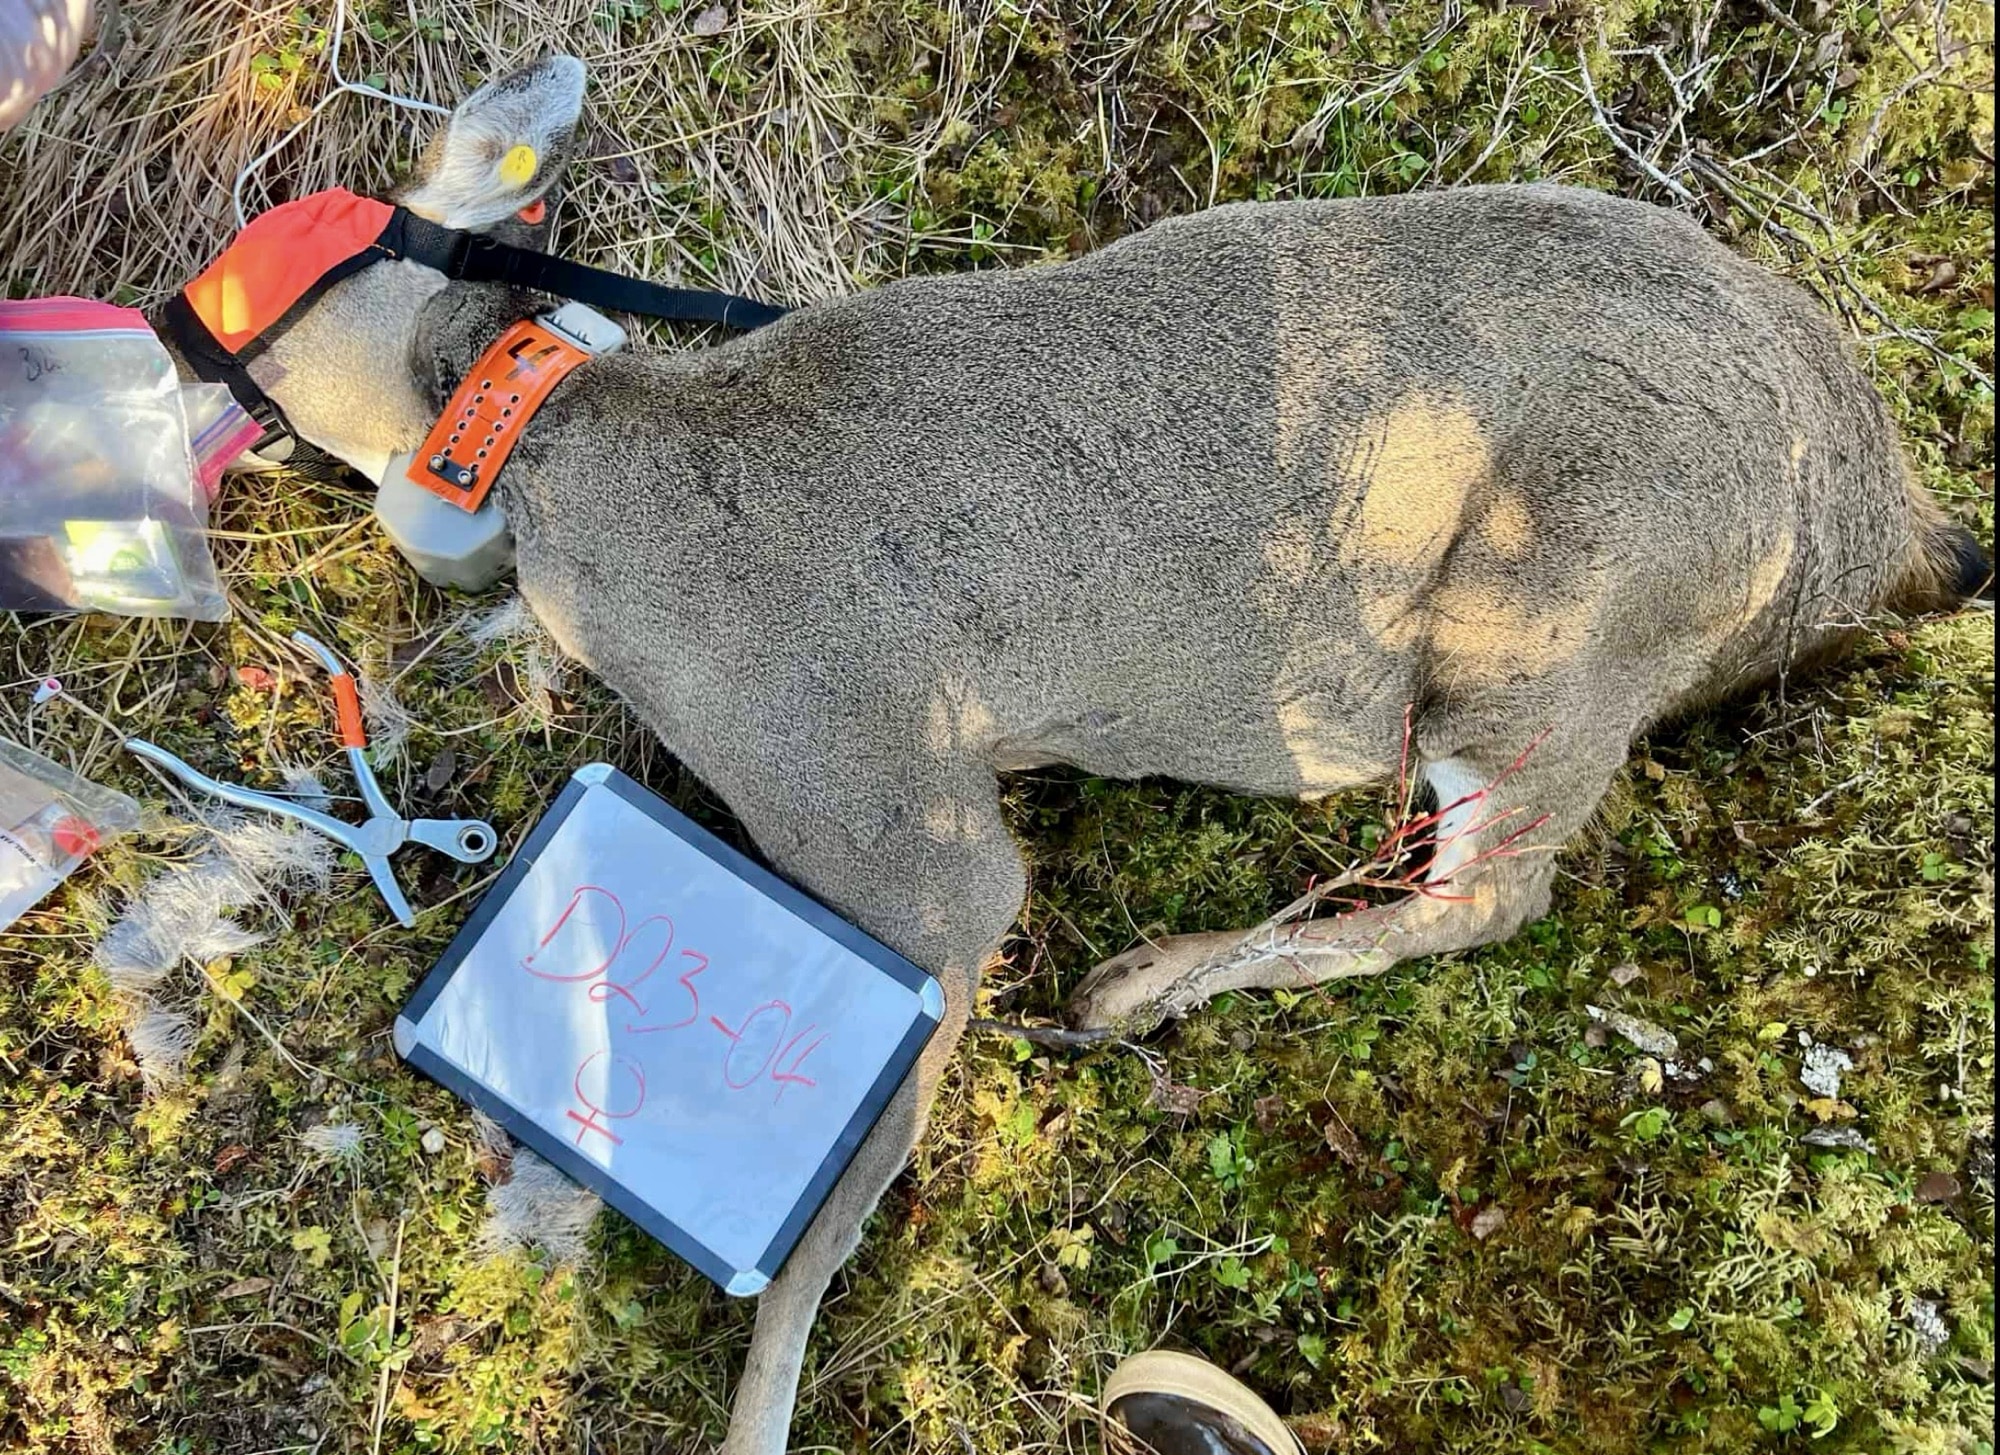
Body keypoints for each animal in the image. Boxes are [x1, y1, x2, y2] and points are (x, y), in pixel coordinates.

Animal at [159, 53, 1989, 1455]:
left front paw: (757, 1410)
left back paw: (1137, 985)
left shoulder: (874, 790)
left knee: (1493, 891)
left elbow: (838, 1195)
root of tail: (1872, 503)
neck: (561, 465)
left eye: (268, 281)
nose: (163, 359)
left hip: (1552, 616)